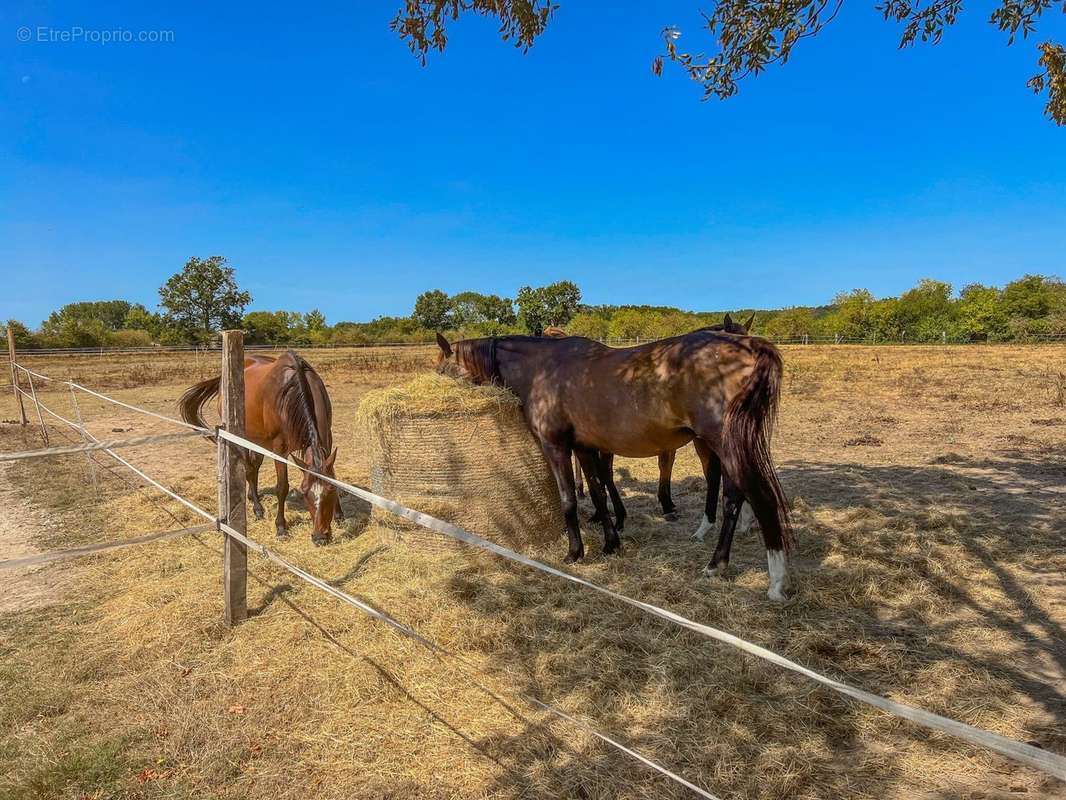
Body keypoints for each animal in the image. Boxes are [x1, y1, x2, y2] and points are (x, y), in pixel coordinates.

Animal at [176, 349, 338, 546]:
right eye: (305, 492)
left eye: (330, 491)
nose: (320, 537)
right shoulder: (279, 449)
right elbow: (282, 487)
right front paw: (281, 527)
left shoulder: (327, 438)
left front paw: (339, 515)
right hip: (242, 437)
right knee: (248, 469)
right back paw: (257, 508)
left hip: (258, 441)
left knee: (254, 467)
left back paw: (252, 497)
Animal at [432, 330, 793, 601]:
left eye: (441, 371)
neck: (540, 369)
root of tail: (747, 344)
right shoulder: (585, 448)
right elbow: (597, 491)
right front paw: (610, 542)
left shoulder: (557, 447)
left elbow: (569, 499)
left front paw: (574, 552)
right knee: (732, 499)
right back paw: (716, 565)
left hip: (725, 445)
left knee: (759, 498)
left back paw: (775, 582)